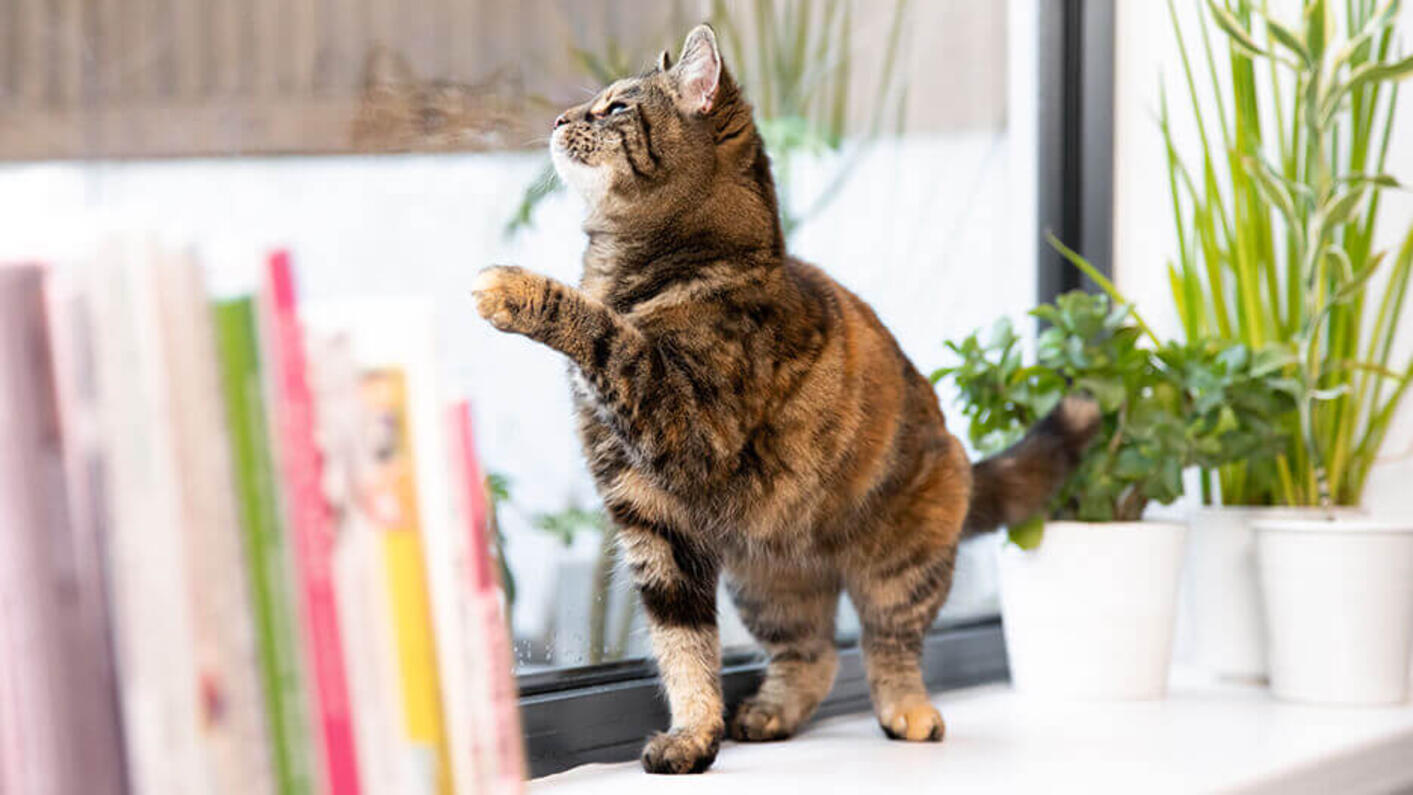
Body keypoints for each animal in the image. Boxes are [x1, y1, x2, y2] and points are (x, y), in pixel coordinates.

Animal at [469, 24, 1096, 779]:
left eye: (616, 106)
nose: (562, 119)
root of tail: (966, 463)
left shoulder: (681, 424)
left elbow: (607, 332)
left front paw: (513, 289)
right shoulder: (650, 517)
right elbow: (683, 644)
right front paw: (694, 737)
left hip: (899, 566)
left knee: (889, 646)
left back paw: (908, 712)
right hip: (768, 584)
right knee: (814, 653)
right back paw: (767, 713)